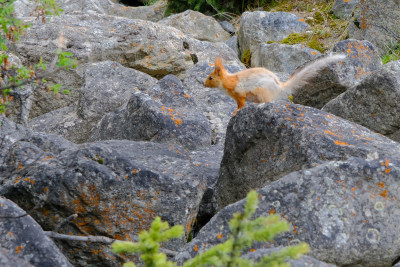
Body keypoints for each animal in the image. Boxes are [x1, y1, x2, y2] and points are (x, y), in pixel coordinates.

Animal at [205, 54, 346, 116]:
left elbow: (241, 104)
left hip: (261, 91)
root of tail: (279, 87)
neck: (227, 81)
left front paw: (236, 112)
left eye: (211, 77)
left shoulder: (239, 93)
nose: (204, 84)